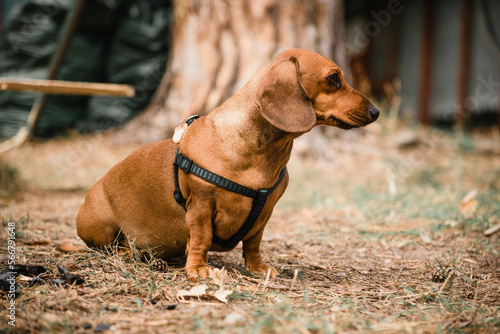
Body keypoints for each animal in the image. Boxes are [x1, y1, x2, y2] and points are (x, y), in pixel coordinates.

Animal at [76, 48, 378, 280]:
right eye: (333, 79)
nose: (375, 112)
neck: (258, 153)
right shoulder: (200, 207)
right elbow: (200, 240)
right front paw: (198, 269)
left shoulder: (264, 213)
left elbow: (253, 243)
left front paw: (257, 268)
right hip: (103, 227)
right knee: (111, 249)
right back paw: (139, 256)